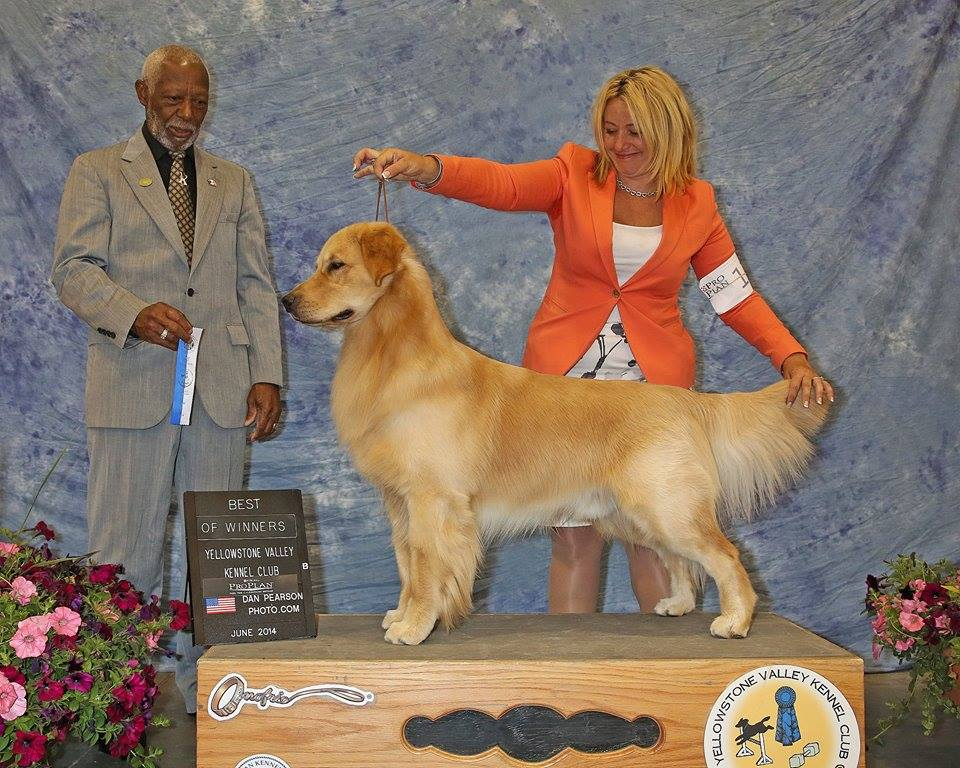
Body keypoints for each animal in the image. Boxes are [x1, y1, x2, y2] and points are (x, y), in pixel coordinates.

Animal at [282, 219, 828, 644]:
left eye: (335, 266)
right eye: (321, 264)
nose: (287, 301)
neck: (392, 354)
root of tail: (686, 400)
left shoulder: (431, 499)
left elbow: (425, 566)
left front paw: (415, 626)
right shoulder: (400, 503)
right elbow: (406, 567)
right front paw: (402, 613)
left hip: (667, 505)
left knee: (727, 556)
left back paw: (735, 622)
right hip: (644, 514)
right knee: (681, 562)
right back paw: (676, 604)